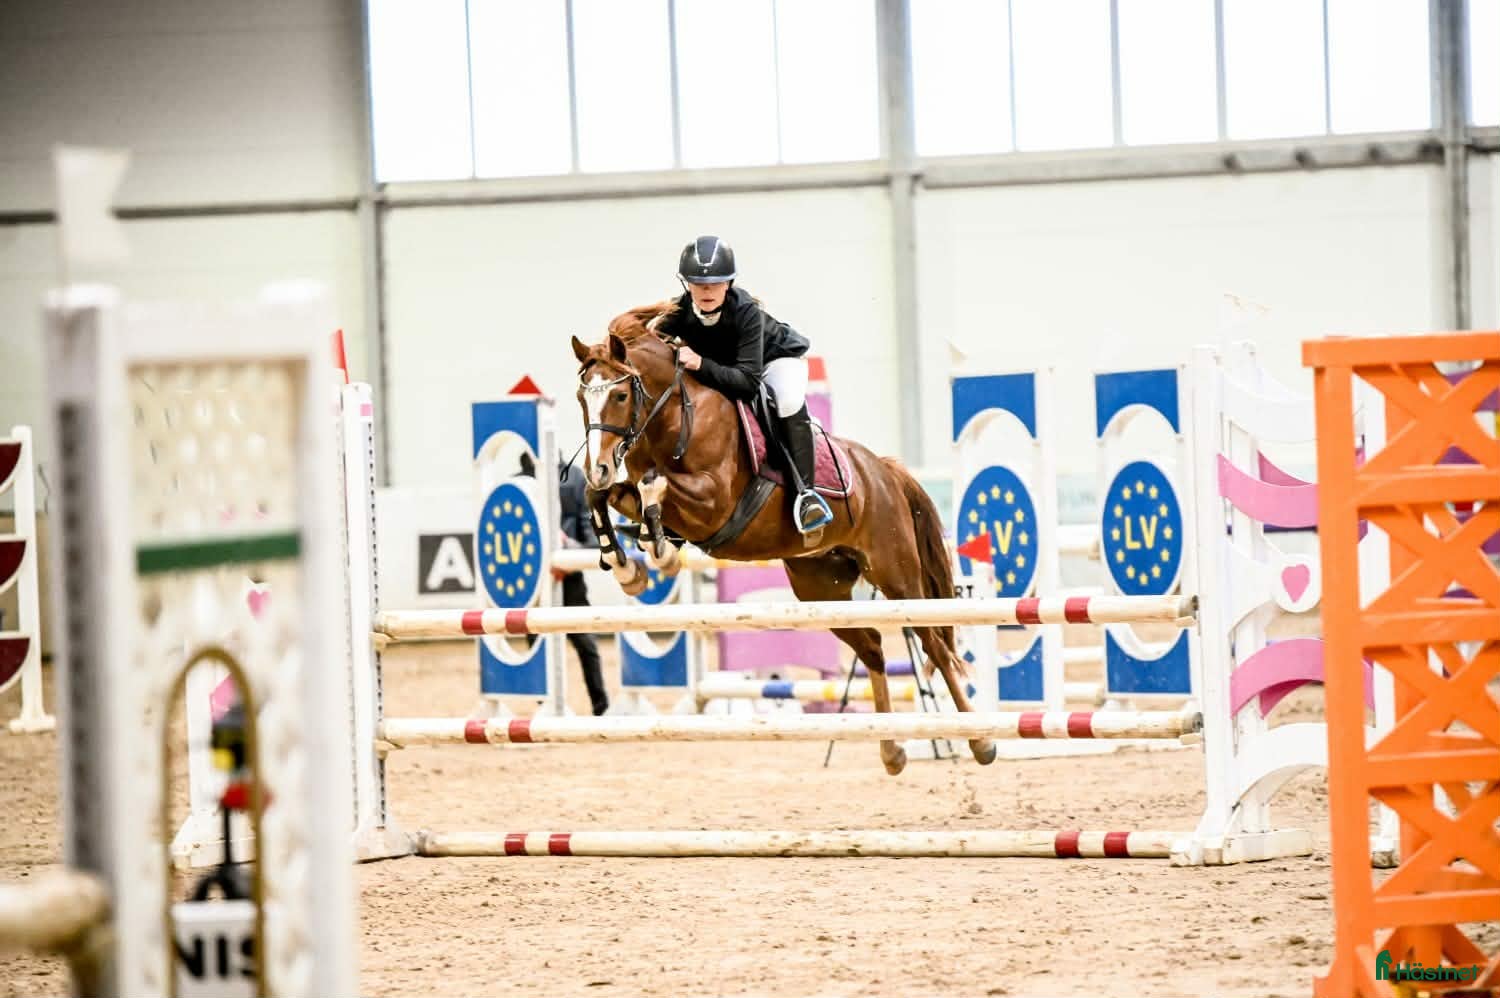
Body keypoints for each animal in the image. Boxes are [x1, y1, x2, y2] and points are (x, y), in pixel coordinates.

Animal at [569, 302, 997, 775]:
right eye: (581, 398)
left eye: (620, 396)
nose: (597, 466)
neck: (672, 413)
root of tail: (883, 470)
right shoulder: (633, 487)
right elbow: (606, 494)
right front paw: (628, 565)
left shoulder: (713, 500)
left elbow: (653, 484)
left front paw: (657, 550)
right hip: (821, 586)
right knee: (872, 647)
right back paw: (892, 750)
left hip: (897, 574)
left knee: (934, 645)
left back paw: (980, 741)